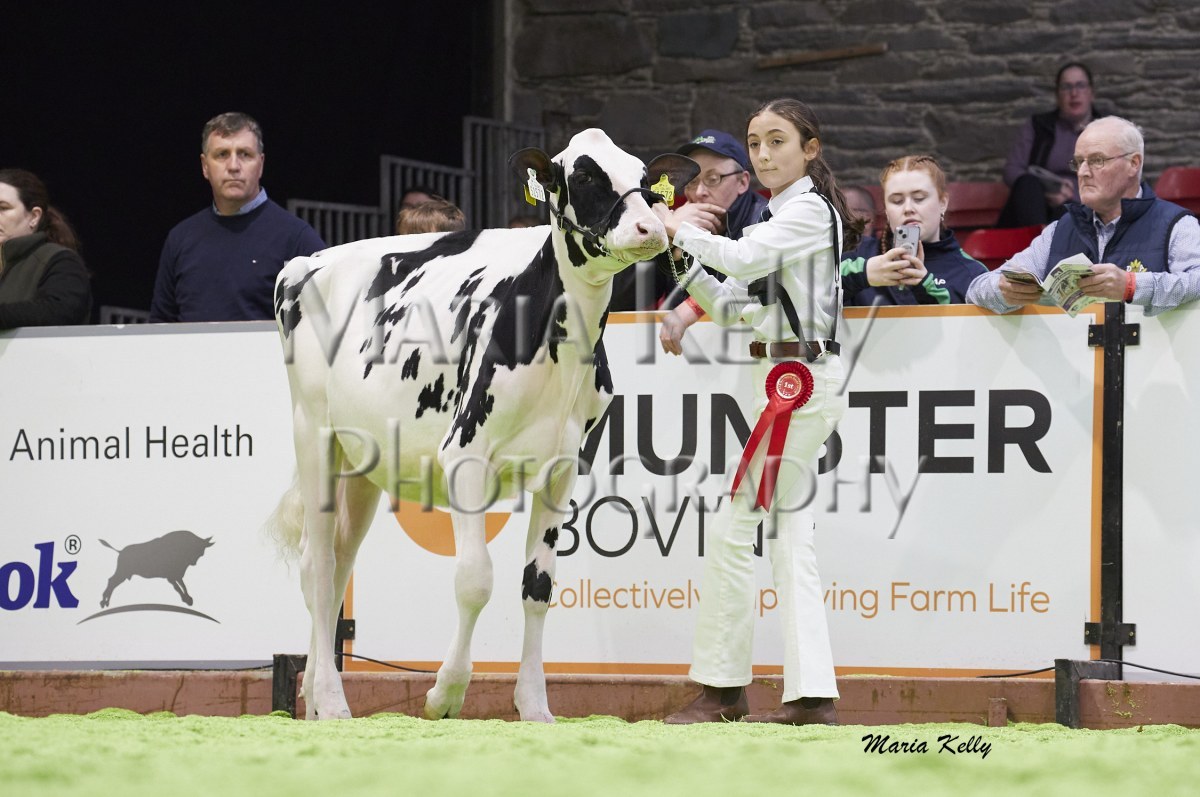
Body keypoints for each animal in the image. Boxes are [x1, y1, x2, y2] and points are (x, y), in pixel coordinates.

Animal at [265, 129, 699, 722]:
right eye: (583, 175)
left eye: (642, 177)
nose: (650, 228)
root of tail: (307, 260)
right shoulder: (464, 454)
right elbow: (474, 580)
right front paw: (445, 693)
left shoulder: (564, 468)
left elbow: (538, 586)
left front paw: (535, 705)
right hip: (312, 432)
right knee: (318, 567)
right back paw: (332, 702)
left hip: (363, 463)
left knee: (338, 563)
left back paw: (312, 699)